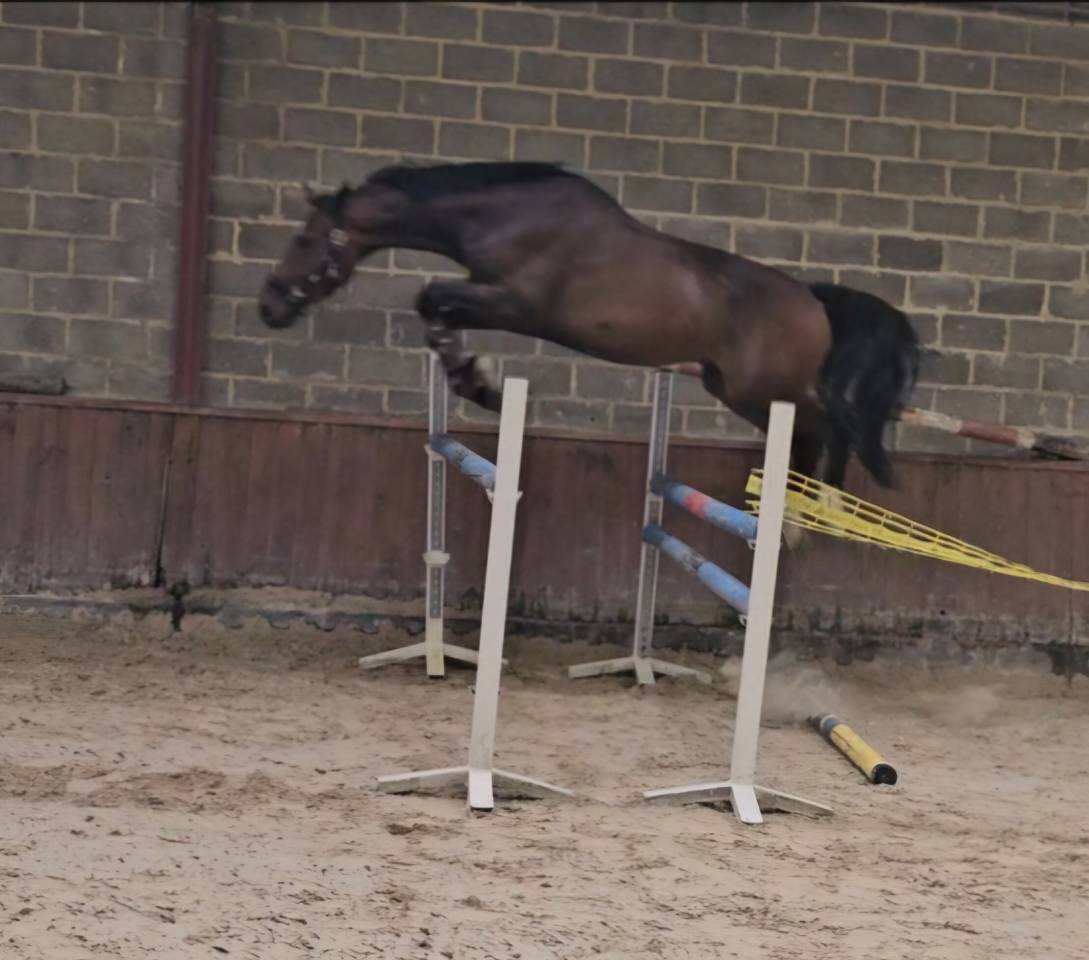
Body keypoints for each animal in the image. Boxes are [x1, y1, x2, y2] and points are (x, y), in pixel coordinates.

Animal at [258, 161, 920, 494]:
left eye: (305, 239)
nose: (269, 306)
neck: (505, 214)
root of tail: (814, 300)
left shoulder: (517, 304)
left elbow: (431, 299)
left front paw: (481, 381)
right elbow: (437, 313)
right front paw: (472, 375)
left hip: (761, 392)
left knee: (830, 428)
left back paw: (814, 507)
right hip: (733, 389)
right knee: (817, 434)